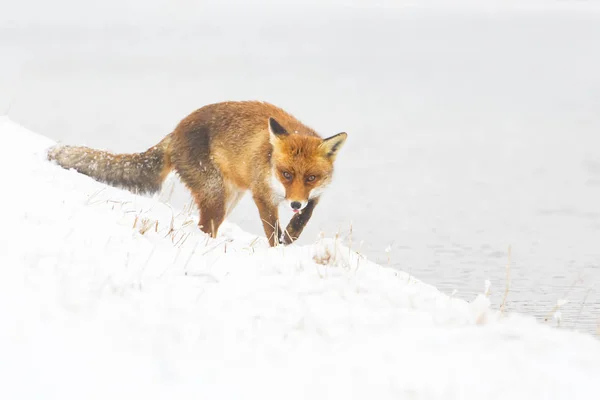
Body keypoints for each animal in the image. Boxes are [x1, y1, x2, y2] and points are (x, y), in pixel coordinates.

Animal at [49, 101, 350, 245]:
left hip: (229, 197)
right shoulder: (261, 194)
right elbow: (272, 232)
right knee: (205, 227)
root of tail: (175, 132)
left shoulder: (315, 194)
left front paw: (292, 234)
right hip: (215, 195)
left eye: (311, 177)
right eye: (286, 174)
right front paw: (280, 247)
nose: (294, 203)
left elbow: (304, 217)